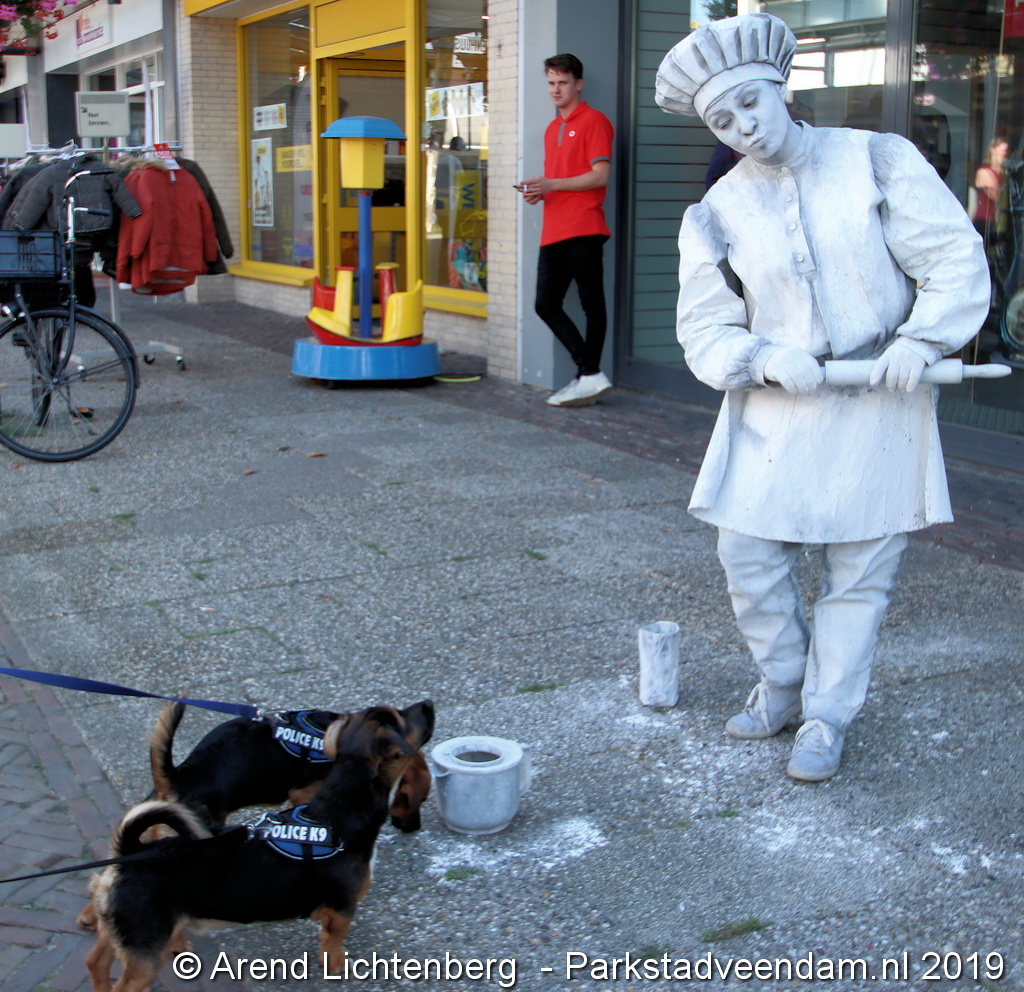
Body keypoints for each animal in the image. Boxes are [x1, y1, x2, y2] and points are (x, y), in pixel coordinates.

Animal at [86, 700, 435, 992]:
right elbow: (333, 946)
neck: (339, 810)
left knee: (96, 962)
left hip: (119, 935)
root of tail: (128, 856)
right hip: (144, 956)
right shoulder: (342, 911)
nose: (429, 703)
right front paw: (339, 966)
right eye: (400, 718)